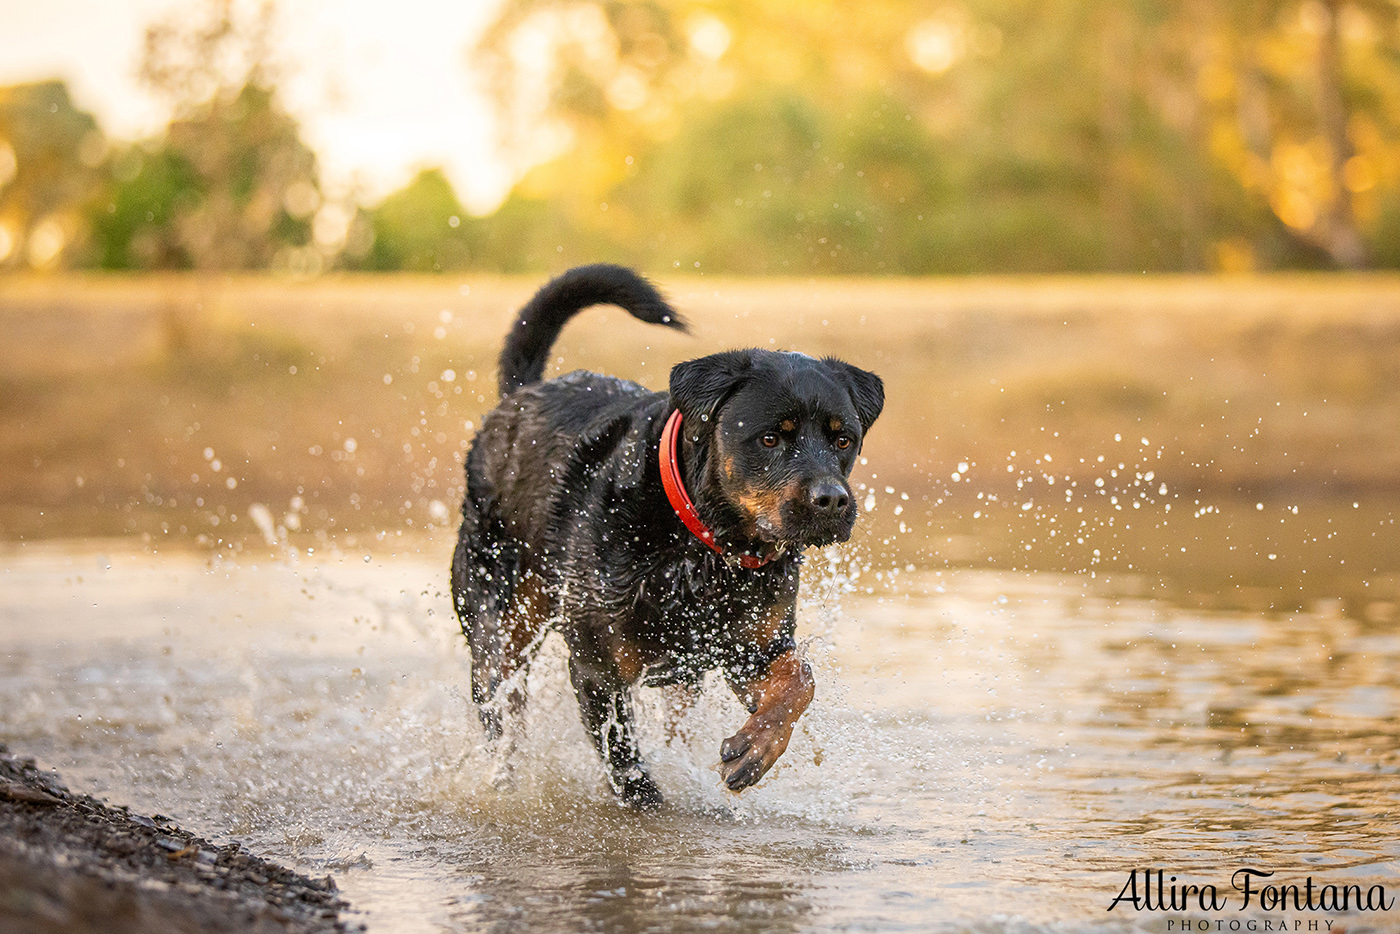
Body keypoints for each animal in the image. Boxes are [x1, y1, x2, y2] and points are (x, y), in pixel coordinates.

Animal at [450, 263, 884, 806]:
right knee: (500, 708)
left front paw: (755, 748)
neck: (705, 548)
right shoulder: (597, 665)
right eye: (769, 438)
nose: (832, 500)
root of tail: (518, 397)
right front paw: (647, 802)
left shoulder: (751, 648)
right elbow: (624, 759)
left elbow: (798, 681)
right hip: (498, 618)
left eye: (843, 439)